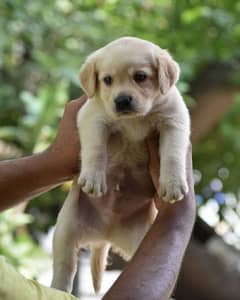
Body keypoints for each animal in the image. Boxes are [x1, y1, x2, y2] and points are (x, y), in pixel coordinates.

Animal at [51, 36, 190, 294]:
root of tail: (106, 233)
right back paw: (58, 290)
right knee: (65, 270)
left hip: (142, 243)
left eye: (140, 77)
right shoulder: (92, 116)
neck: (134, 120)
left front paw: (173, 183)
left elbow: (173, 154)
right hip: (65, 233)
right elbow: (96, 149)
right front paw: (94, 178)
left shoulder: (175, 119)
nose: (122, 100)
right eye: (107, 80)